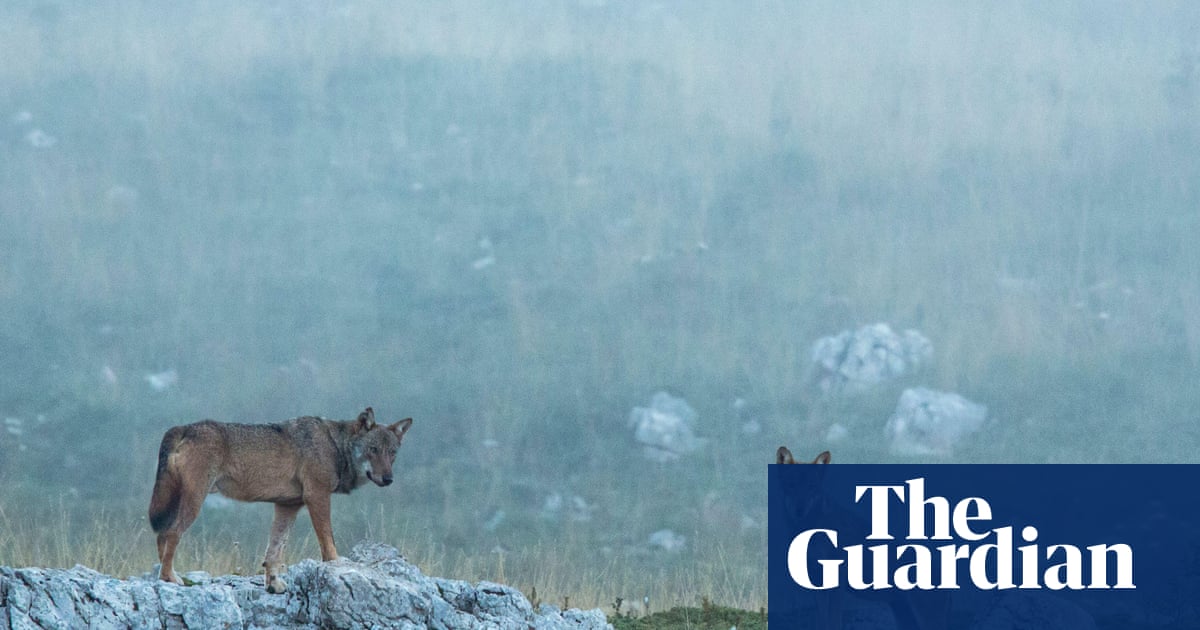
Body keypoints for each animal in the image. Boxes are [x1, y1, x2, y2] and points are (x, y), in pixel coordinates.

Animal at [148, 407, 412, 593]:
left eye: (392, 453)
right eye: (373, 449)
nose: (388, 479)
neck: (335, 446)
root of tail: (184, 427)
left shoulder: (288, 505)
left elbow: (274, 551)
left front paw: (273, 585)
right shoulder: (317, 496)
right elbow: (328, 542)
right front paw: (335, 566)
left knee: (162, 536)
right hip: (195, 501)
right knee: (170, 533)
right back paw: (169, 577)